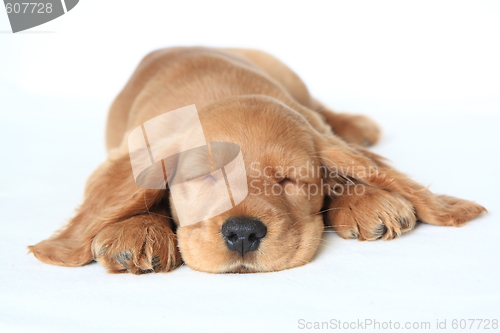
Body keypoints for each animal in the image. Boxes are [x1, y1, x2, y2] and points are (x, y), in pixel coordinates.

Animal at [28, 48, 488, 274]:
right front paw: (138, 230)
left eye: (288, 181)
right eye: (205, 177)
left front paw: (366, 199)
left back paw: (358, 126)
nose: (243, 234)